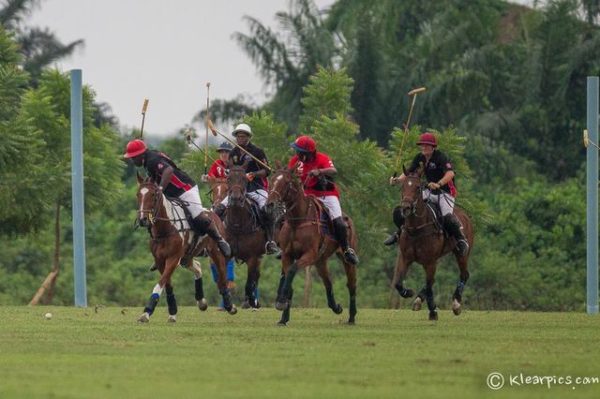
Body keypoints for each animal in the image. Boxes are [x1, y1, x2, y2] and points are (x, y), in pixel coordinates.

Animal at [135, 177, 237, 324]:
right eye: (138, 195)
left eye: (153, 195)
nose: (143, 220)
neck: (166, 228)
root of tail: (213, 212)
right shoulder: (160, 260)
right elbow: (167, 284)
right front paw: (172, 313)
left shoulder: (173, 258)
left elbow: (160, 283)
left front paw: (146, 312)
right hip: (186, 257)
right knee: (198, 267)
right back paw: (201, 301)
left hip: (215, 252)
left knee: (222, 276)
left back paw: (229, 305)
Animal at [221, 164, 268, 308]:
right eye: (228, 178)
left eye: (244, 179)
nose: (236, 199)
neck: (238, 225)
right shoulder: (226, 255)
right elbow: (223, 279)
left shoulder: (253, 257)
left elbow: (249, 283)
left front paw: (251, 301)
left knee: (255, 277)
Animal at [266, 165, 356, 324]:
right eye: (271, 180)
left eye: (286, 183)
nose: (270, 204)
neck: (297, 221)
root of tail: (347, 218)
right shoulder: (287, 255)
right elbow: (288, 278)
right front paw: (283, 317)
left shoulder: (309, 254)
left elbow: (291, 271)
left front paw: (281, 302)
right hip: (320, 261)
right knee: (328, 282)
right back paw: (336, 307)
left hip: (344, 258)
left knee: (351, 284)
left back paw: (351, 317)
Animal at [394, 169, 474, 322]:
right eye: (402, 187)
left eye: (417, 187)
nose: (406, 208)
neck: (416, 228)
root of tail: (466, 216)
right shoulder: (405, 258)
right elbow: (398, 283)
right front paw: (409, 292)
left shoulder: (430, 261)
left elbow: (430, 286)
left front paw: (433, 311)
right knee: (432, 281)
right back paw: (418, 300)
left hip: (462, 253)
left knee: (464, 274)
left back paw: (456, 304)